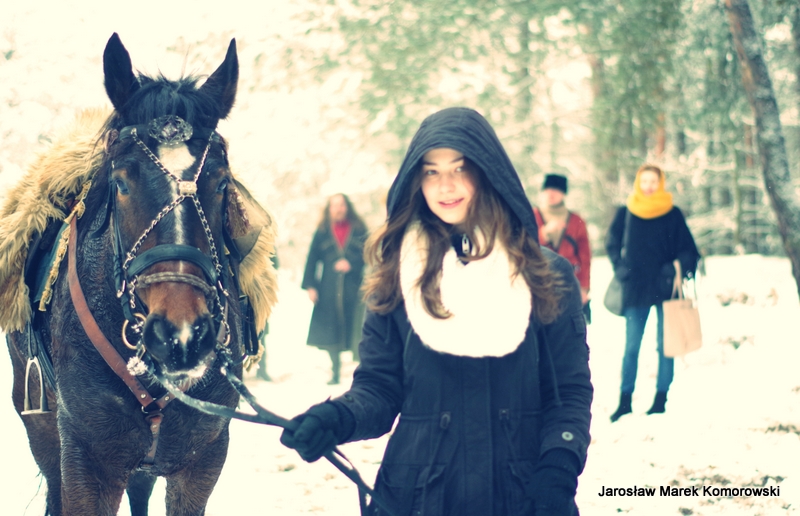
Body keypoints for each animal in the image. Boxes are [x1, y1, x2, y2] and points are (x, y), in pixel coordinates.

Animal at [4, 33, 274, 516]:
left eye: (221, 182)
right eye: (122, 182)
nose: (181, 333)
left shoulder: (202, 460)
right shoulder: (86, 459)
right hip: (38, 420)